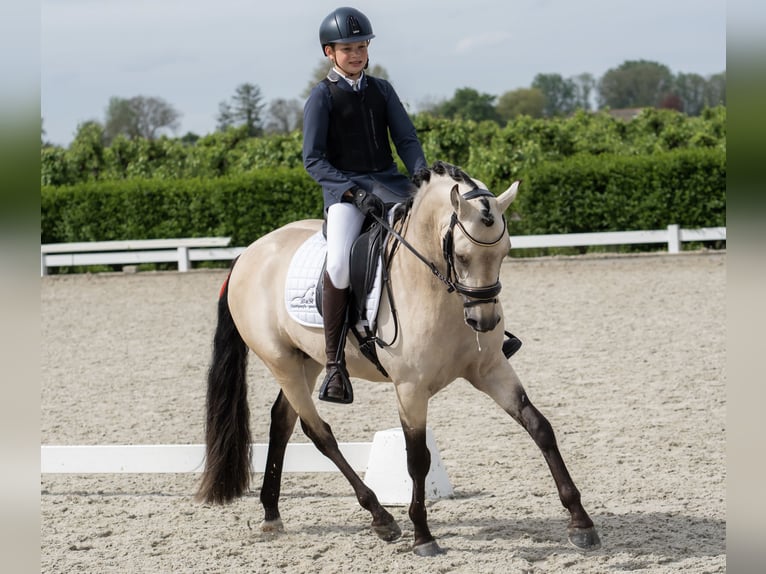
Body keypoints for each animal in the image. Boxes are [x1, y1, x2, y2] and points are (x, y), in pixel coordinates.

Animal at [196, 161, 600, 560]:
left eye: (505, 253)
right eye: (462, 256)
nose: (483, 321)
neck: (438, 289)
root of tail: (249, 254)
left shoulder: (490, 369)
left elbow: (539, 426)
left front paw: (581, 523)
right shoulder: (410, 388)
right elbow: (417, 458)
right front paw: (423, 536)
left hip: (306, 360)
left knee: (282, 421)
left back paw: (271, 513)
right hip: (280, 361)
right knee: (319, 432)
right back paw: (381, 518)